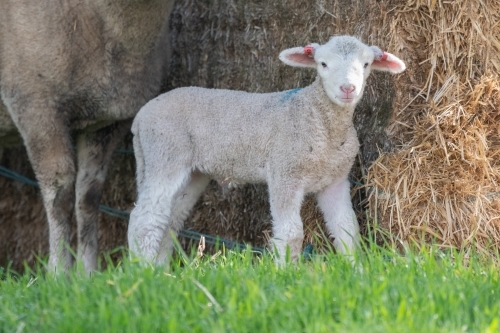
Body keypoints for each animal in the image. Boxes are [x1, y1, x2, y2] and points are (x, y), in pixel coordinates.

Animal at [0, 0, 176, 272]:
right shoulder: (35, 107)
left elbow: (89, 195)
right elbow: (60, 195)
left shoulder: (105, 123)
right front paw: (59, 271)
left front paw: (88, 273)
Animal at [128, 35, 406, 264]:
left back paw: (161, 272)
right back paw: (142, 271)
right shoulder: (285, 172)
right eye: (323, 64)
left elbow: (347, 230)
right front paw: (286, 274)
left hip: (192, 172)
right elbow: (291, 234)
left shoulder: (335, 180)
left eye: (366, 64)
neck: (317, 118)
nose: (348, 89)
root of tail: (140, 117)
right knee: (145, 220)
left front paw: (356, 271)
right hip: (165, 155)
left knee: (168, 221)